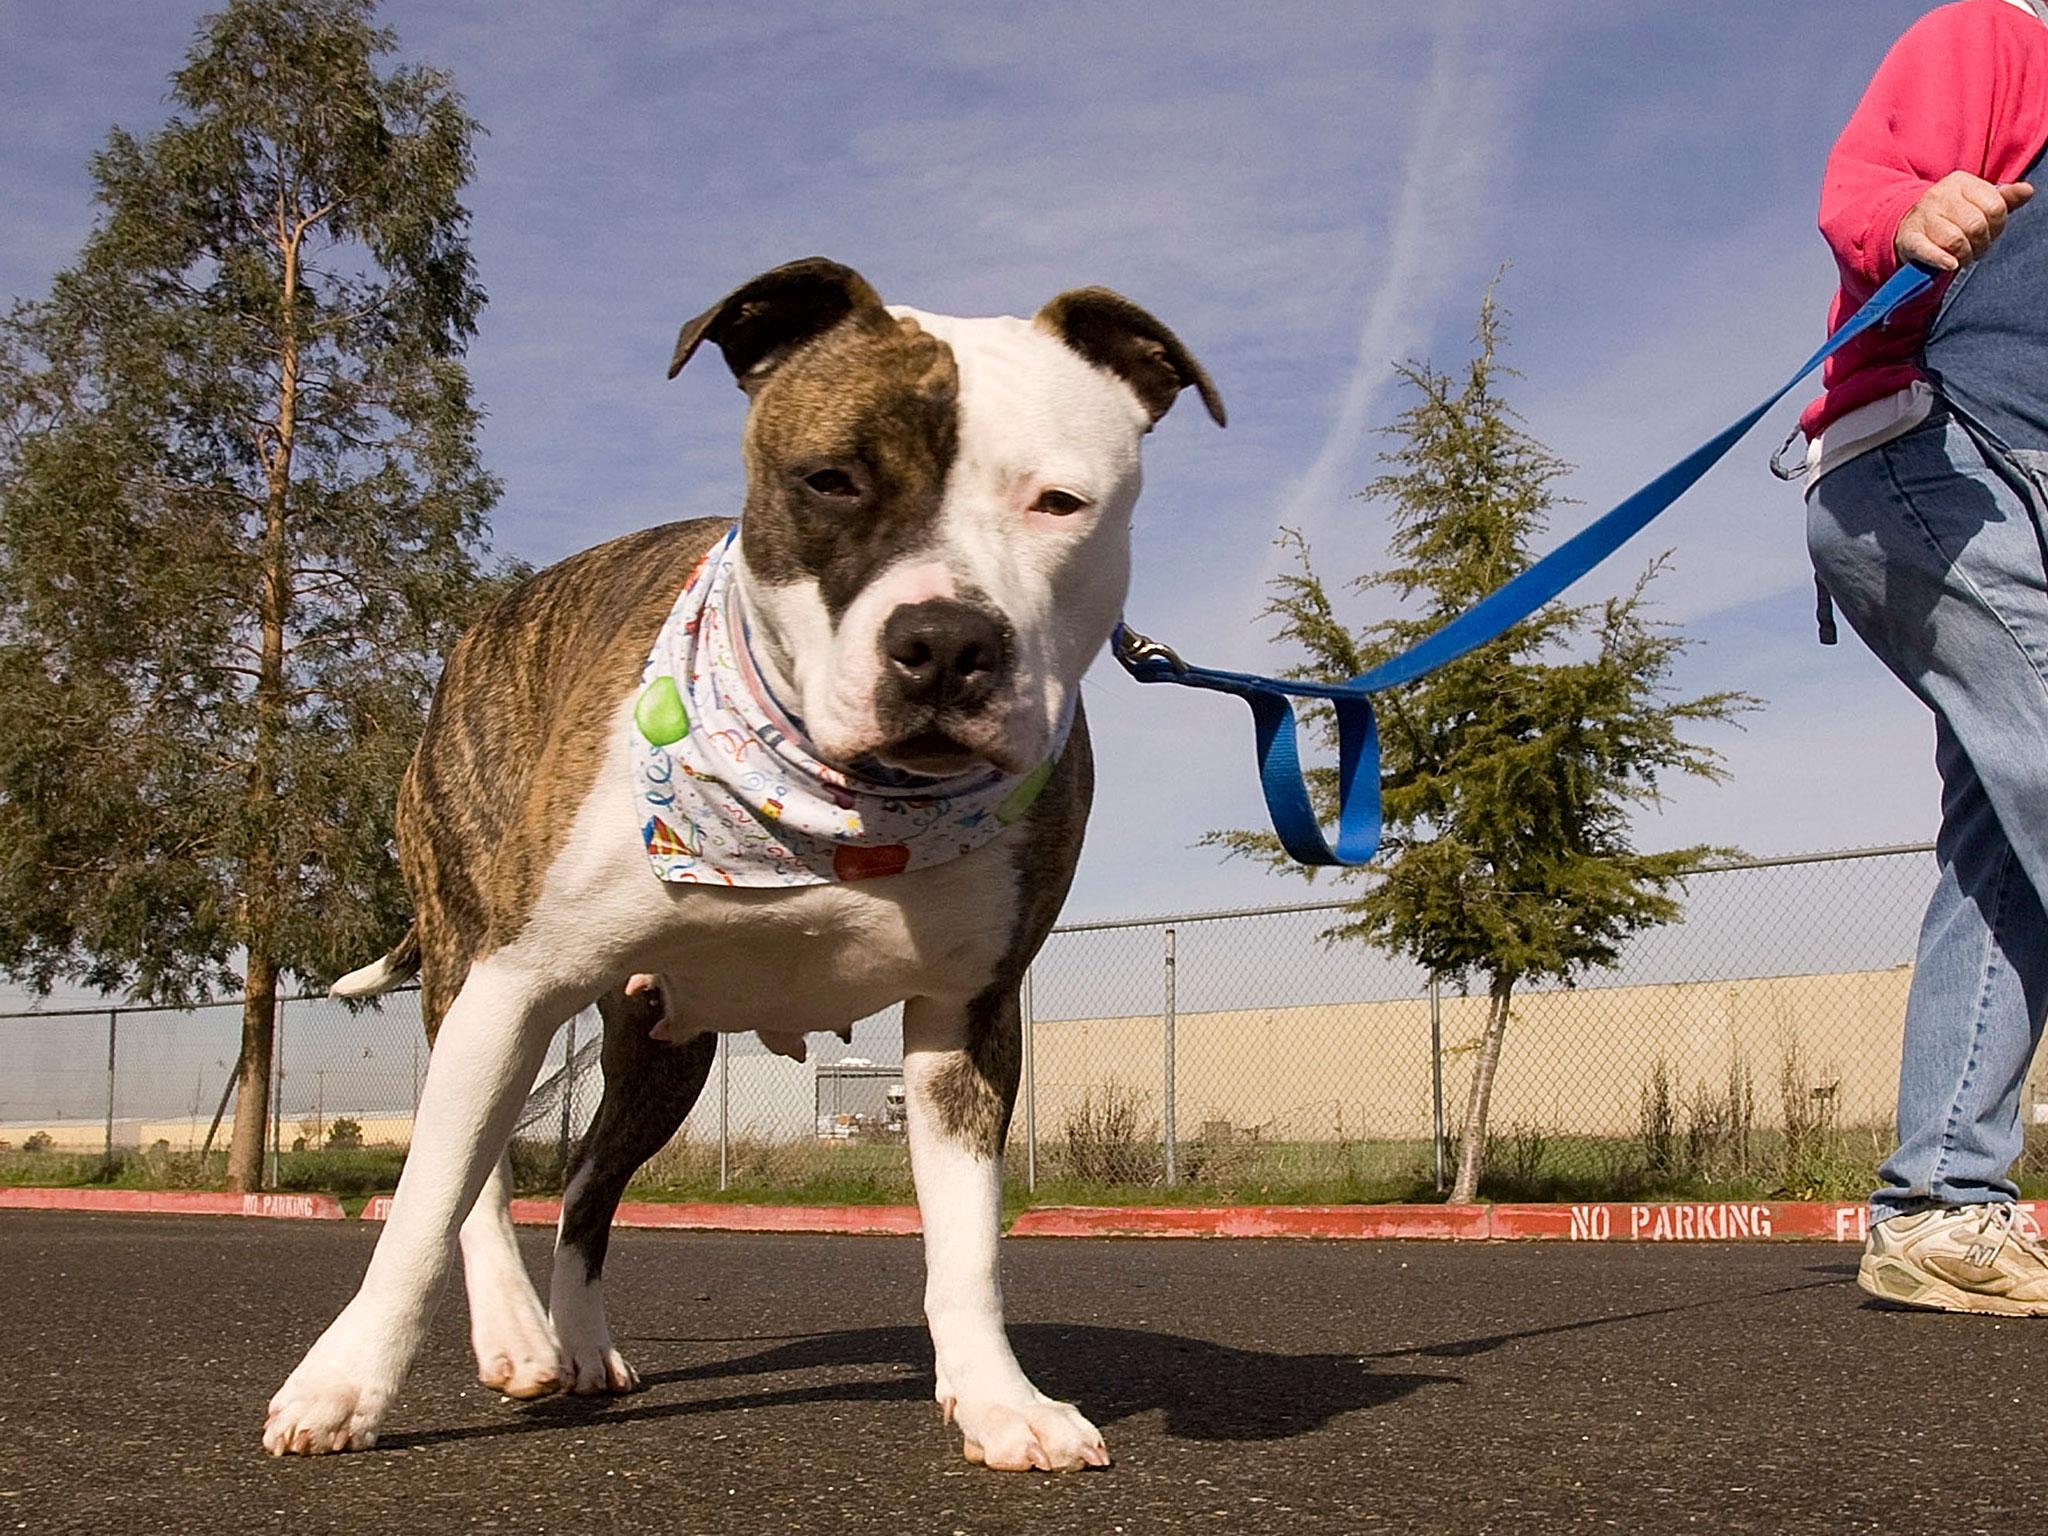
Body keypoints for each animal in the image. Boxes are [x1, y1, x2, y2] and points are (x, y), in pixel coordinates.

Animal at [253, 259, 1212, 1474]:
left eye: (1059, 503)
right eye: (829, 480)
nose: (947, 643)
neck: (838, 800)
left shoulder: (964, 1019)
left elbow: (967, 1245)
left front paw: (999, 1400)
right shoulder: (515, 986)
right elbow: (422, 1208)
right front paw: (342, 1386)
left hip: (665, 1052)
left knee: (585, 1190)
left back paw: (577, 1344)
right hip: (471, 973)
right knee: (477, 1182)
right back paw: (514, 1335)